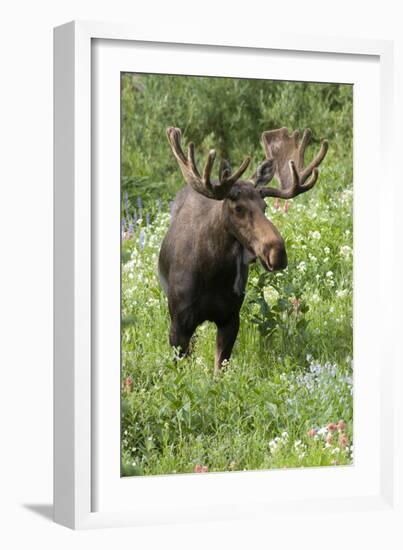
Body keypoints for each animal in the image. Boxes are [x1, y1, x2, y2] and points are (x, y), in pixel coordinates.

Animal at [158, 126, 328, 376]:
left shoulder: (230, 318)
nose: (278, 252)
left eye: (265, 206)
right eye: (238, 208)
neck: (212, 274)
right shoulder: (178, 323)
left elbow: (219, 370)